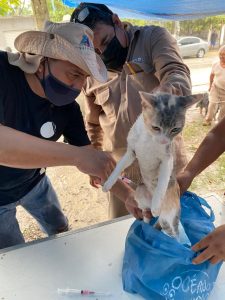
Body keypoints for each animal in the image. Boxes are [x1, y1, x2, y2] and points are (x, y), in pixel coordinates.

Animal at [103, 91, 203, 237]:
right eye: (156, 127)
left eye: (175, 129)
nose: (163, 141)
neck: (149, 138)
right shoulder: (131, 152)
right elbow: (119, 166)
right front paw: (108, 183)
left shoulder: (167, 159)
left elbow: (162, 182)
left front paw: (157, 204)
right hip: (140, 193)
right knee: (145, 213)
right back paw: (145, 224)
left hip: (168, 218)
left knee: (172, 231)